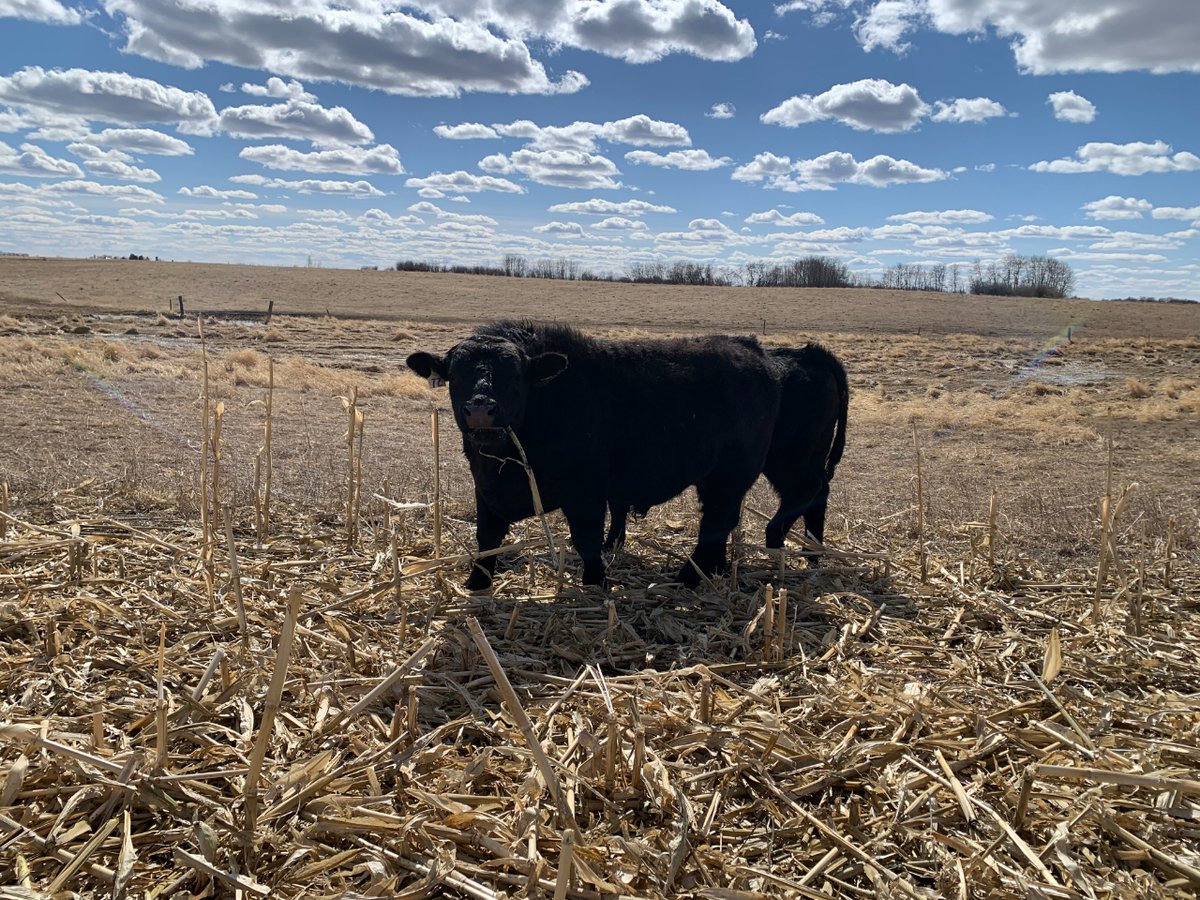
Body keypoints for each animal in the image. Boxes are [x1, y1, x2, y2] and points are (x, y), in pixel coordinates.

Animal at [406, 321, 780, 590]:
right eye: (455, 376)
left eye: (514, 376)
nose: (481, 408)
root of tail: (751, 348)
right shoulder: (484, 490)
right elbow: (486, 538)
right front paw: (476, 583)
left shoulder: (585, 491)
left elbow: (587, 538)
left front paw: (595, 583)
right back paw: (712, 570)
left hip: (729, 475)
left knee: (716, 523)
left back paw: (689, 576)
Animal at [605, 342, 848, 562]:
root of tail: (810, 354)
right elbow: (617, 510)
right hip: (807, 459)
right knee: (818, 493)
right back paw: (811, 553)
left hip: (785, 460)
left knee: (805, 489)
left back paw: (775, 541)